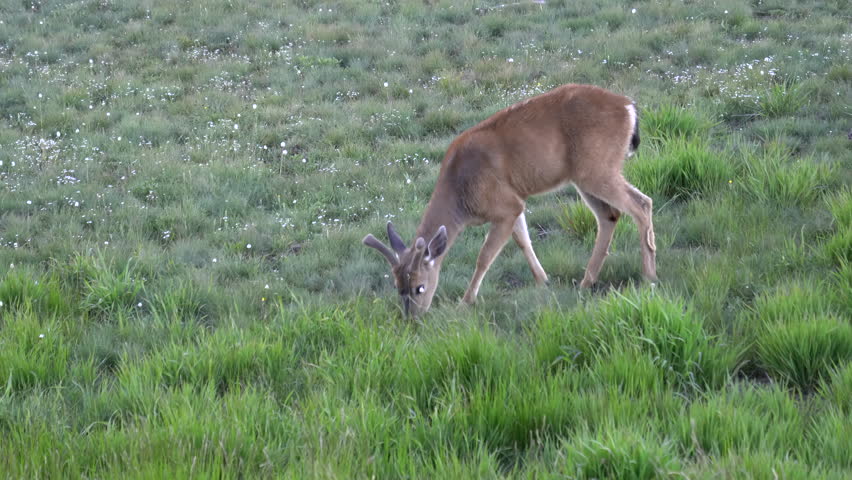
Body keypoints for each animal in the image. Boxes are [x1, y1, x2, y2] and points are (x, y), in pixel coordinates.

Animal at [362, 84, 656, 318]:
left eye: (419, 287)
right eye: (397, 286)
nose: (412, 317)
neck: (461, 195)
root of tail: (629, 107)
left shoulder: (504, 205)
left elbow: (484, 257)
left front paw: (465, 302)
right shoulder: (514, 203)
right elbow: (523, 241)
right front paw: (543, 281)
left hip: (596, 168)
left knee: (642, 204)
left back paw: (649, 277)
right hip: (585, 175)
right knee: (610, 215)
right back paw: (587, 282)